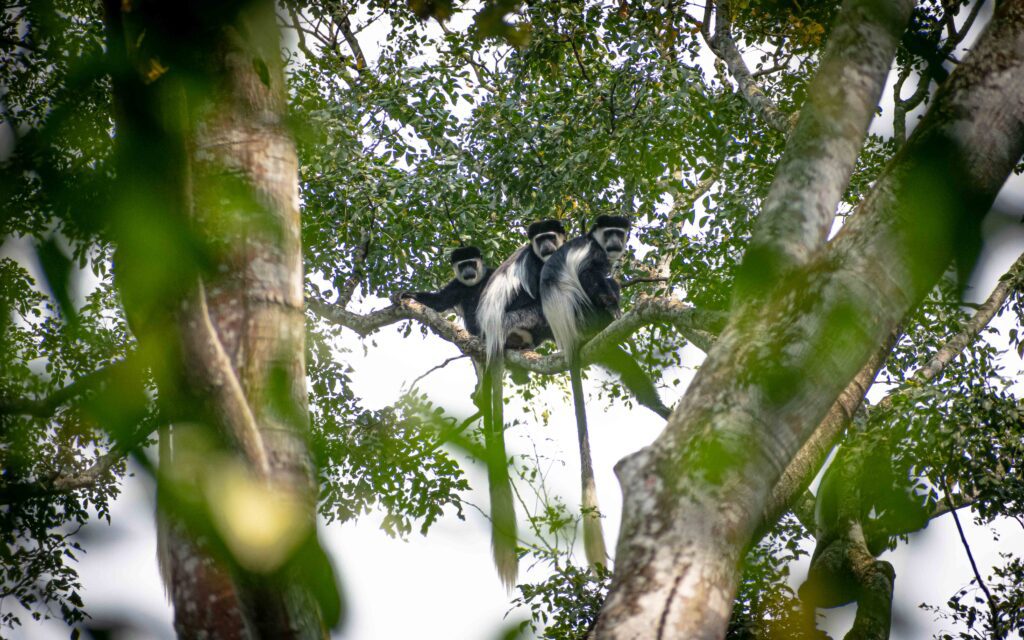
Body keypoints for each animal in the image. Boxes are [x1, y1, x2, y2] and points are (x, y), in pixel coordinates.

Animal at [473, 217, 565, 585]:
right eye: (540, 240)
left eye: (551, 236)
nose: (547, 246)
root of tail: (494, 335)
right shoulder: (537, 265)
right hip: (517, 318)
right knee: (539, 304)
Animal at [536, 216, 671, 569]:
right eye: (609, 233)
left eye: (619, 233)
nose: (616, 242)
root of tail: (570, 340)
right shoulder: (592, 255)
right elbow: (590, 275)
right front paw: (615, 305)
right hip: (585, 317)